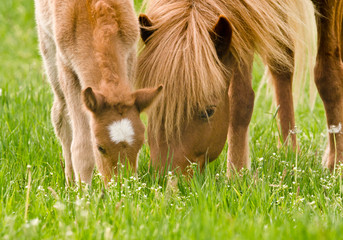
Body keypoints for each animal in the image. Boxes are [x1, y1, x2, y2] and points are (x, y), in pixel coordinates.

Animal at [35, 0, 163, 185]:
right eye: (100, 147)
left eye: (140, 144)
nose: (121, 186)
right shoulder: (67, 68)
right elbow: (81, 145)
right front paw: (83, 191)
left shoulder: (130, 57)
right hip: (48, 48)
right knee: (60, 115)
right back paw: (70, 182)